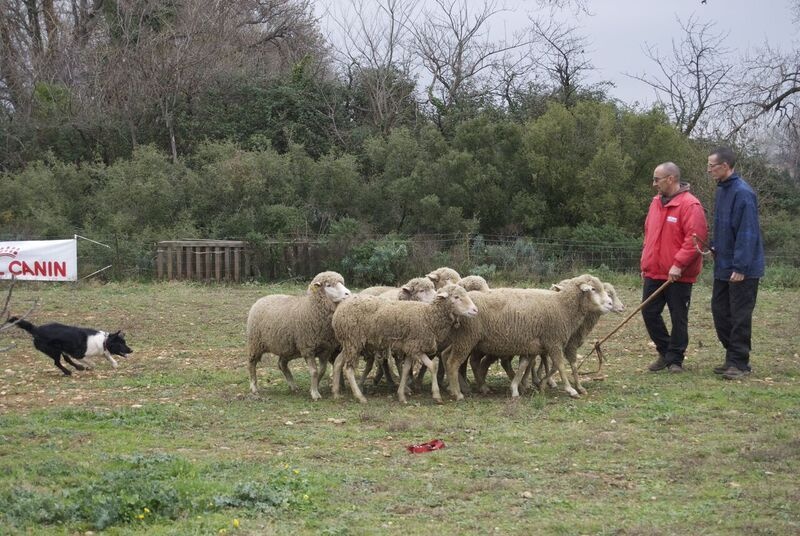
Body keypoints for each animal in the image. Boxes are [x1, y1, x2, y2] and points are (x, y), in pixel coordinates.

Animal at [247, 270, 350, 400]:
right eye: (328, 285)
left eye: (342, 283)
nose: (348, 293)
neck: (311, 308)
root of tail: (261, 299)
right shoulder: (308, 348)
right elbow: (314, 371)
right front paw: (315, 393)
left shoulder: (325, 350)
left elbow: (321, 371)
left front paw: (314, 386)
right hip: (255, 343)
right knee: (252, 363)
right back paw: (254, 387)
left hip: (288, 348)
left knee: (281, 364)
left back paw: (293, 386)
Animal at [330, 284, 476, 402]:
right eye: (456, 297)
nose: (475, 310)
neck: (428, 316)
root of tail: (338, 311)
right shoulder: (416, 346)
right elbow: (432, 366)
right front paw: (436, 395)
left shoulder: (410, 348)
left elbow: (406, 369)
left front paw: (401, 395)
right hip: (353, 341)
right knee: (348, 368)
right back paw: (359, 397)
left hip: (349, 342)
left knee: (338, 362)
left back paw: (336, 393)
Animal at [444, 274, 612, 400]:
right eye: (593, 289)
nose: (610, 304)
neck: (562, 305)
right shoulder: (553, 341)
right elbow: (560, 365)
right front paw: (571, 390)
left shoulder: (532, 344)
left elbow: (525, 365)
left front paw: (517, 387)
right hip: (467, 339)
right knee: (453, 363)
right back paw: (459, 392)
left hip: (461, 339)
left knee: (448, 356)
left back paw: (465, 387)